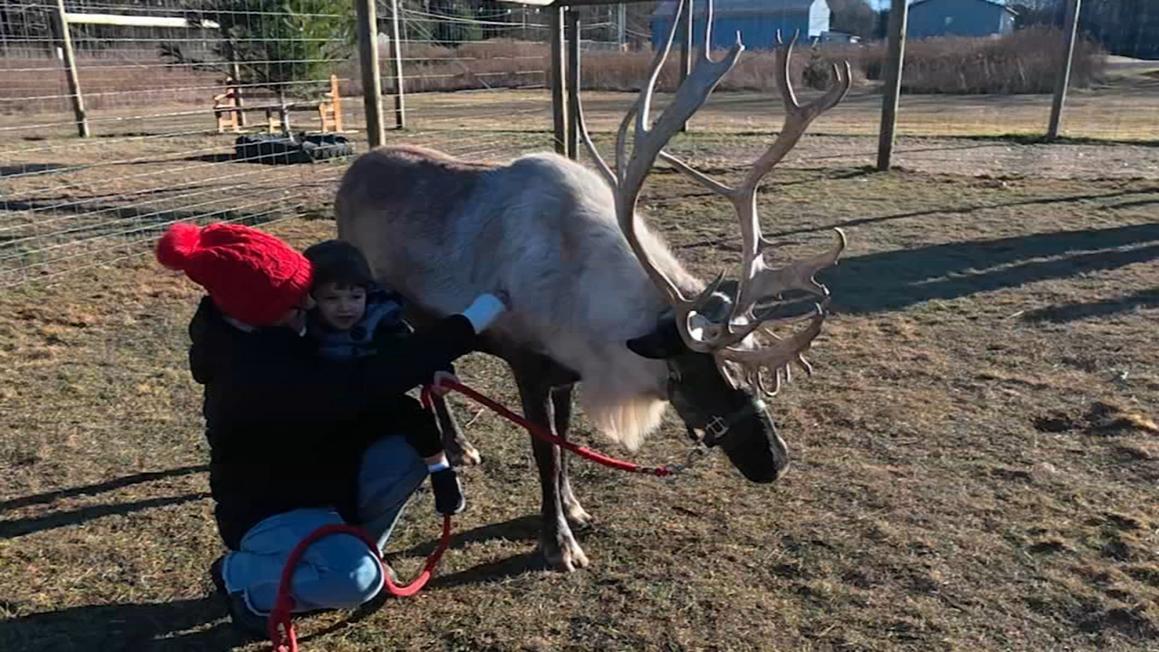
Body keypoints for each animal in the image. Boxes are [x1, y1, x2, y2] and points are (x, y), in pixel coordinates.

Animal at [335, 0, 851, 572]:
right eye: (694, 371)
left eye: (744, 365)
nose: (775, 461)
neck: (585, 296)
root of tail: (351, 170)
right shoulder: (529, 368)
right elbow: (544, 451)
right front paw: (558, 542)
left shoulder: (567, 374)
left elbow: (563, 444)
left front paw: (574, 508)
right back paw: (453, 448)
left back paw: (459, 446)